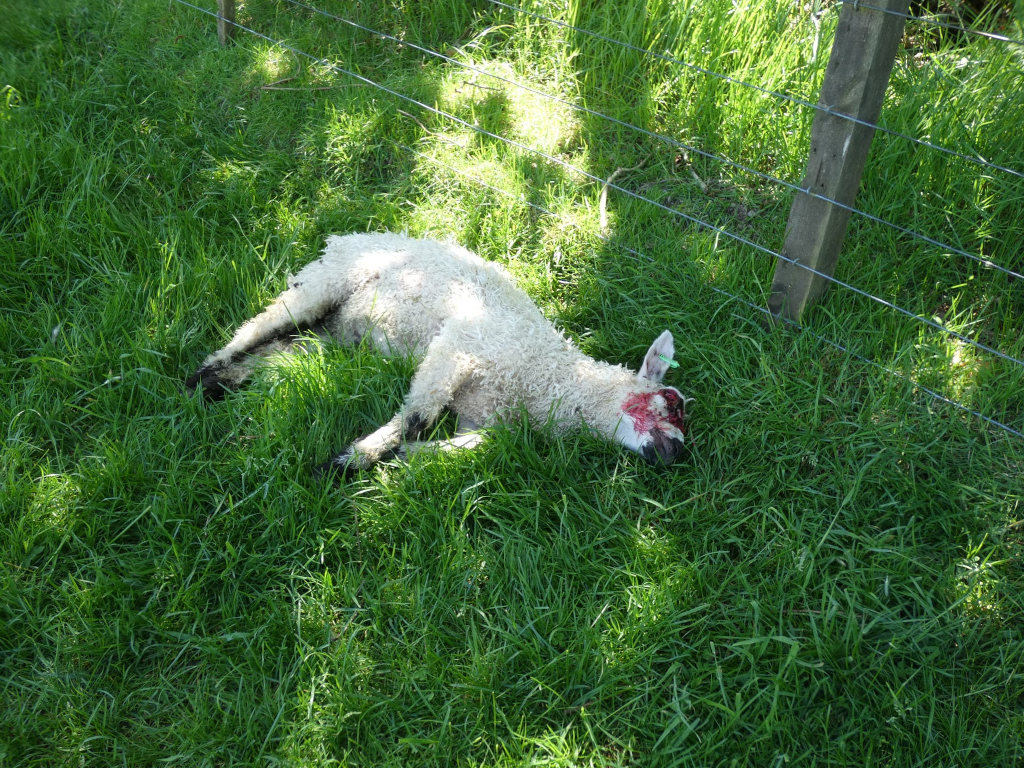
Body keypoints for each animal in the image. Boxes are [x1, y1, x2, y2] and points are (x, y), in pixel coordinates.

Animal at [186, 231, 691, 476]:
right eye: (668, 402)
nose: (678, 455)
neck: (544, 380)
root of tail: (344, 237)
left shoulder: (485, 419)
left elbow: (473, 446)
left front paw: (406, 459)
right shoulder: (463, 343)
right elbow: (416, 415)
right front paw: (348, 462)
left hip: (332, 331)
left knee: (282, 348)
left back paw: (223, 382)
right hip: (324, 283)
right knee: (259, 326)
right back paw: (201, 378)